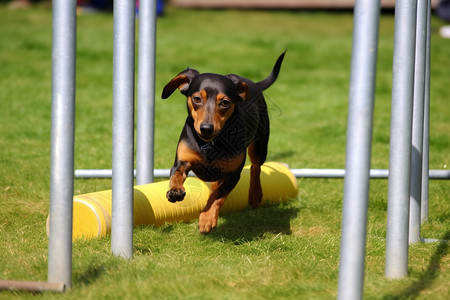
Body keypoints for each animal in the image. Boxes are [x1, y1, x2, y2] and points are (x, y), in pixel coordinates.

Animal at [161, 51, 284, 233]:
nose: (206, 128)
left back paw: (255, 195)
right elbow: (175, 175)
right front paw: (175, 191)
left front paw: (206, 218)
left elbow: (218, 196)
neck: (209, 143)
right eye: (196, 98)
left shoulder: (233, 174)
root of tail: (254, 85)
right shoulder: (182, 161)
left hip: (260, 145)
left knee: (255, 167)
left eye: (225, 102)